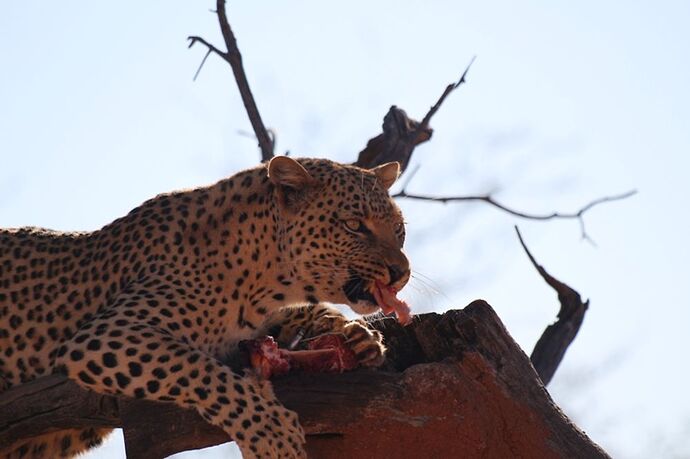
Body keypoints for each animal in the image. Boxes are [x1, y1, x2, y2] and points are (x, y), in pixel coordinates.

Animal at [0, 156, 408, 458]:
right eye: (354, 225)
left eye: (399, 229)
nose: (401, 272)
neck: (263, 279)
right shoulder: (106, 336)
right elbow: (203, 372)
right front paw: (272, 434)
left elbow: (307, 312)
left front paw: (359, 337)